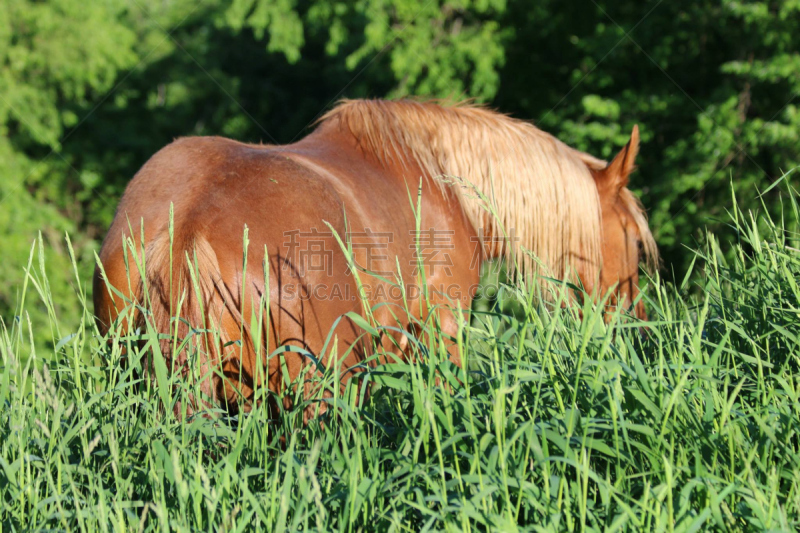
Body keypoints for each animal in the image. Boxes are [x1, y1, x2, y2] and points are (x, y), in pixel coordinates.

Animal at [92, 100, 656, 416]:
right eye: (633, 239)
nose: (640, 327)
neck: (444, 182)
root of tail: (189, 220)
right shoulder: (442, 333)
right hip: (314, 395)